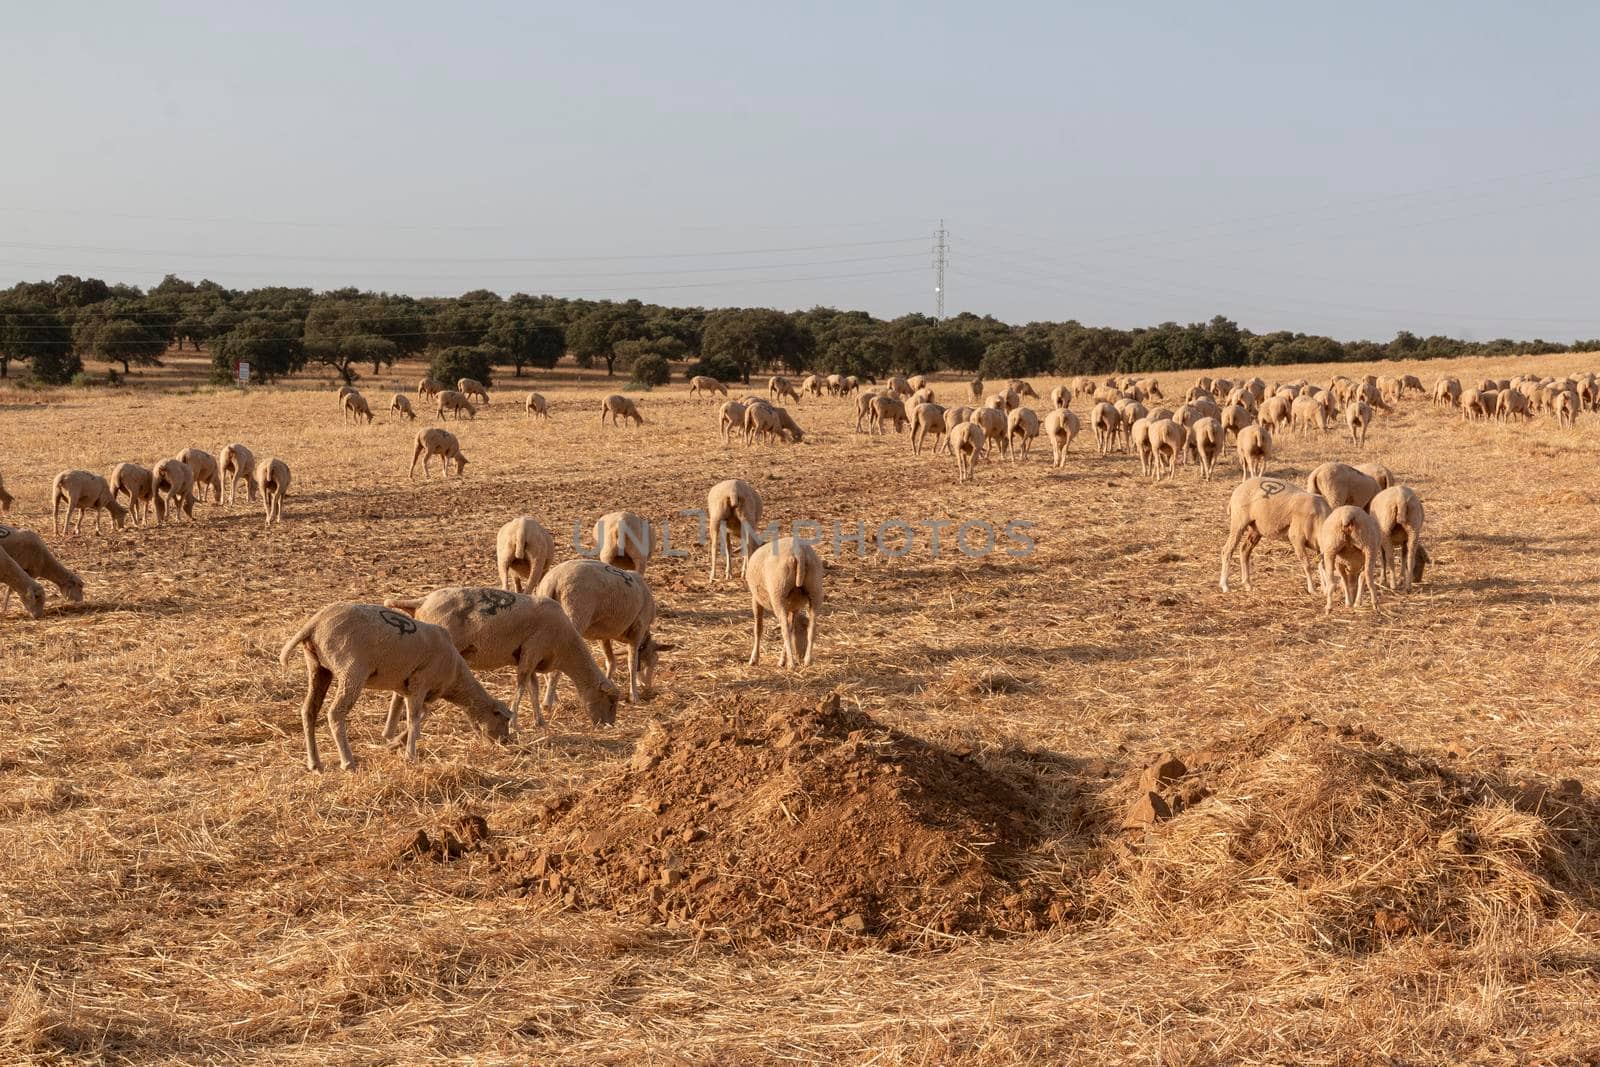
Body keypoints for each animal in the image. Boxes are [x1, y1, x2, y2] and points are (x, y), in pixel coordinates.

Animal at [380, 585, 617, 735]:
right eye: (610, 701)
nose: (609, 725)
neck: (566, 646)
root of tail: (422, 601)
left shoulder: (529, 656)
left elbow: (533, 688)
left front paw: (539, 722)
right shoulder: (532, 650)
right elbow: (522, 686)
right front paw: (514, 723)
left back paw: (390, 730)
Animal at [534, 559, 665, 710]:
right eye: (655, 661)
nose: (648, 688)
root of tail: (554, 580)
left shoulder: (603, 635)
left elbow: (611, 662)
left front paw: (607, 689)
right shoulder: (638, 630)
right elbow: (632, 663)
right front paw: (634, 696)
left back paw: (553, 697)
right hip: (575, 614)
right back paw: (548, 703)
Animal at [745, 534, 825, 668]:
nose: (800, 655)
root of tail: (800, 552)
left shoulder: (755, 599)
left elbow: (758, 628)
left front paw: (754, 659)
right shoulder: (794, 607)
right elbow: (792, 627)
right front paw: (783, 659)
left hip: (778, 593)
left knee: (785, 631)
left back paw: (791, 664)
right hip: (815, 590)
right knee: (812, 628)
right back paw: (807, 660)